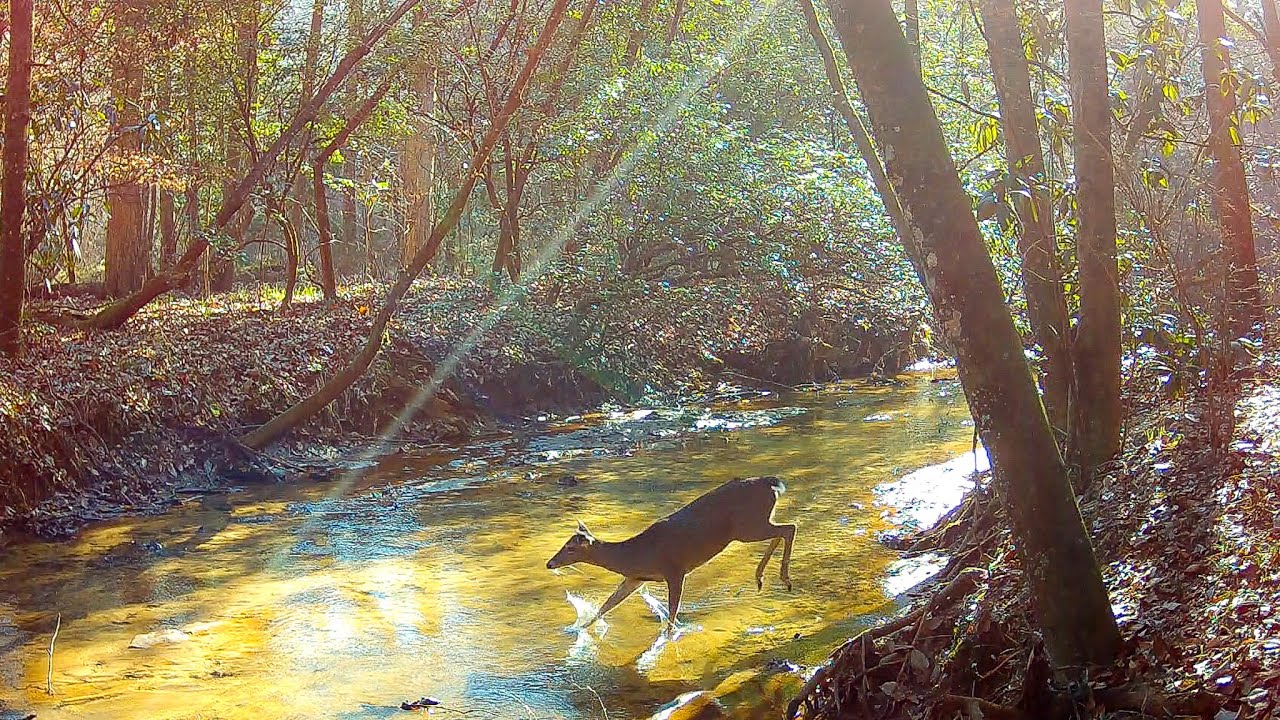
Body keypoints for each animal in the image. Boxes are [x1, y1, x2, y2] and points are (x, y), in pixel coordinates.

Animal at [545, 476, 797, 631]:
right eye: (564, 543)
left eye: (570, 547)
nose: (549, 564)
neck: (637, 555)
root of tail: (771, 484)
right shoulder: (635, 578)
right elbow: (607, 605)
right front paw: (577, 629)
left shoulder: (674, 570)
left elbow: (673, 614)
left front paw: (668, 638)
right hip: (754, 524)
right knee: (782, 529)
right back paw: (761, 577)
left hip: (747, 526)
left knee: (790, 527)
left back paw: (783, 578)